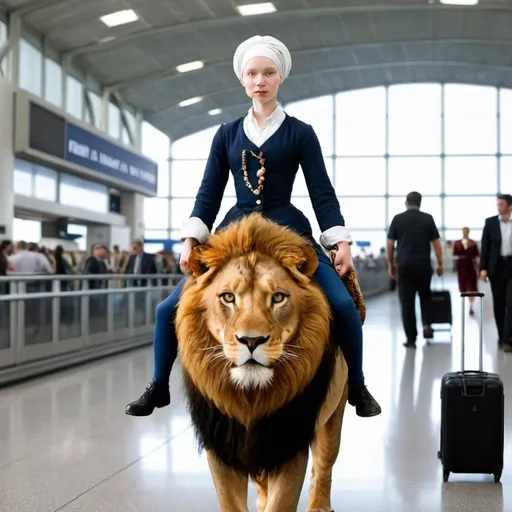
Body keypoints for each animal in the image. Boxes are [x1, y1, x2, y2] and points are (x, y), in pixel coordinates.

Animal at [175, 214, 348, 510]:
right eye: (228, 297)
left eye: (278, 297)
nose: (251, 340)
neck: (251, 399)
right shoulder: (221, 445)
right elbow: (232, 503)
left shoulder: (289, 444)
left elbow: (281, 502)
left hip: (334, 414)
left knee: (324, 465)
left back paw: (320, 505)